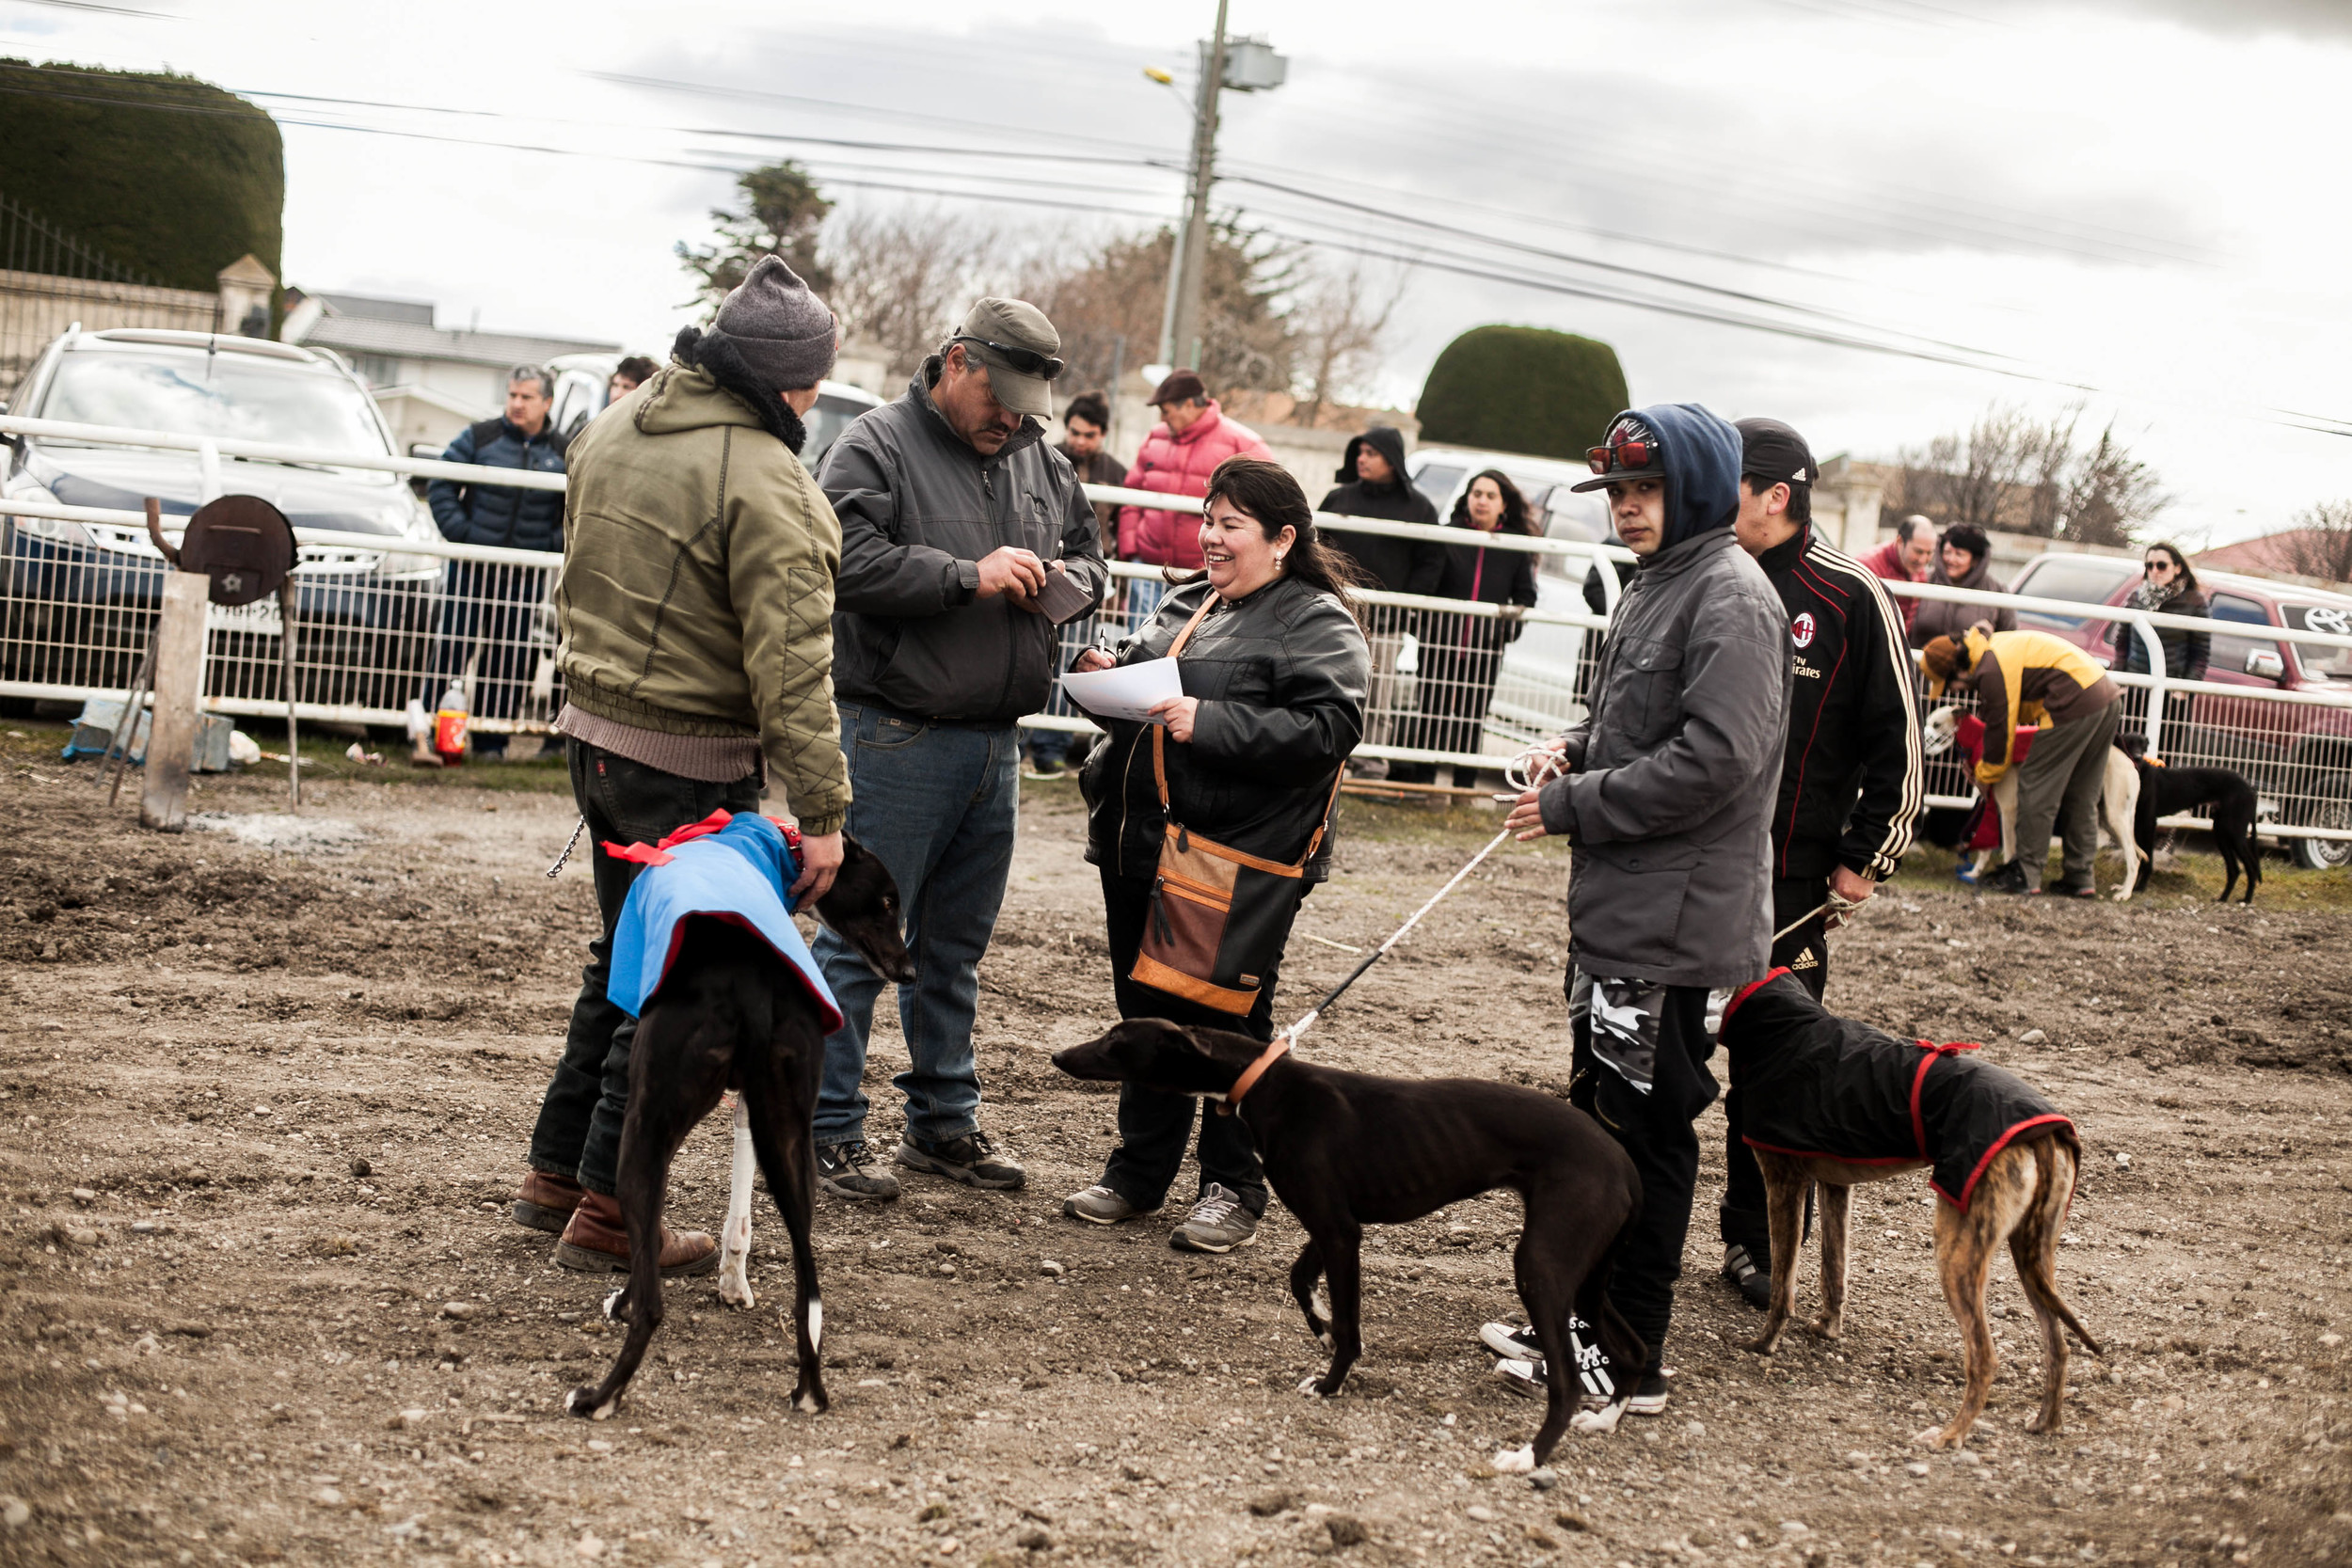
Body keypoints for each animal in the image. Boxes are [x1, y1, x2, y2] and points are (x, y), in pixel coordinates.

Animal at [560, 841, 908, 1429]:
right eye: (886, 900)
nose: (908, 967)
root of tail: (753, 990)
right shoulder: (752, 1109)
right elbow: (739, 1217)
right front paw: (732, 1285)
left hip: (645, 1128)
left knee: (652, 1303)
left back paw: (601, 1395)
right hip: (791, 1139)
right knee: (807, 1290)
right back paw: (810, 1391)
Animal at [1058, 1020, 1646, 1476]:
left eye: (1115, 1039)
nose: (1058, 1055)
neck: (1265, 1081)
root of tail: (1623, 1162)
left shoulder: (1339, 1230)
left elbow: (1348, 1324)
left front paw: (1329, 1382)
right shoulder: (1335, 1227)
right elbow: (1300, 1280)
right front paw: (1320, 1328)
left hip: (1541, 1267)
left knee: (1567, 1381)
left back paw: (1530, 1456)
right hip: (1588, 1276)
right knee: (1634, 1350)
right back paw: (1607, 1418)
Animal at [2117, 737, 2258, 907]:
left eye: (2142, 745)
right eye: (2128, 743)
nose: (2137, 758)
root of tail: (2250, 789)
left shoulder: (2149, 823)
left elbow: (2147, 859)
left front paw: (2140, 887)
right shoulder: (2138, 824)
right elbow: (2141, 857)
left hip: (2234, 832)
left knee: (2251, 866)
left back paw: (2247, 899)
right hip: (2221, 832)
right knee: (2235, 869)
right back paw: (2223, 898)